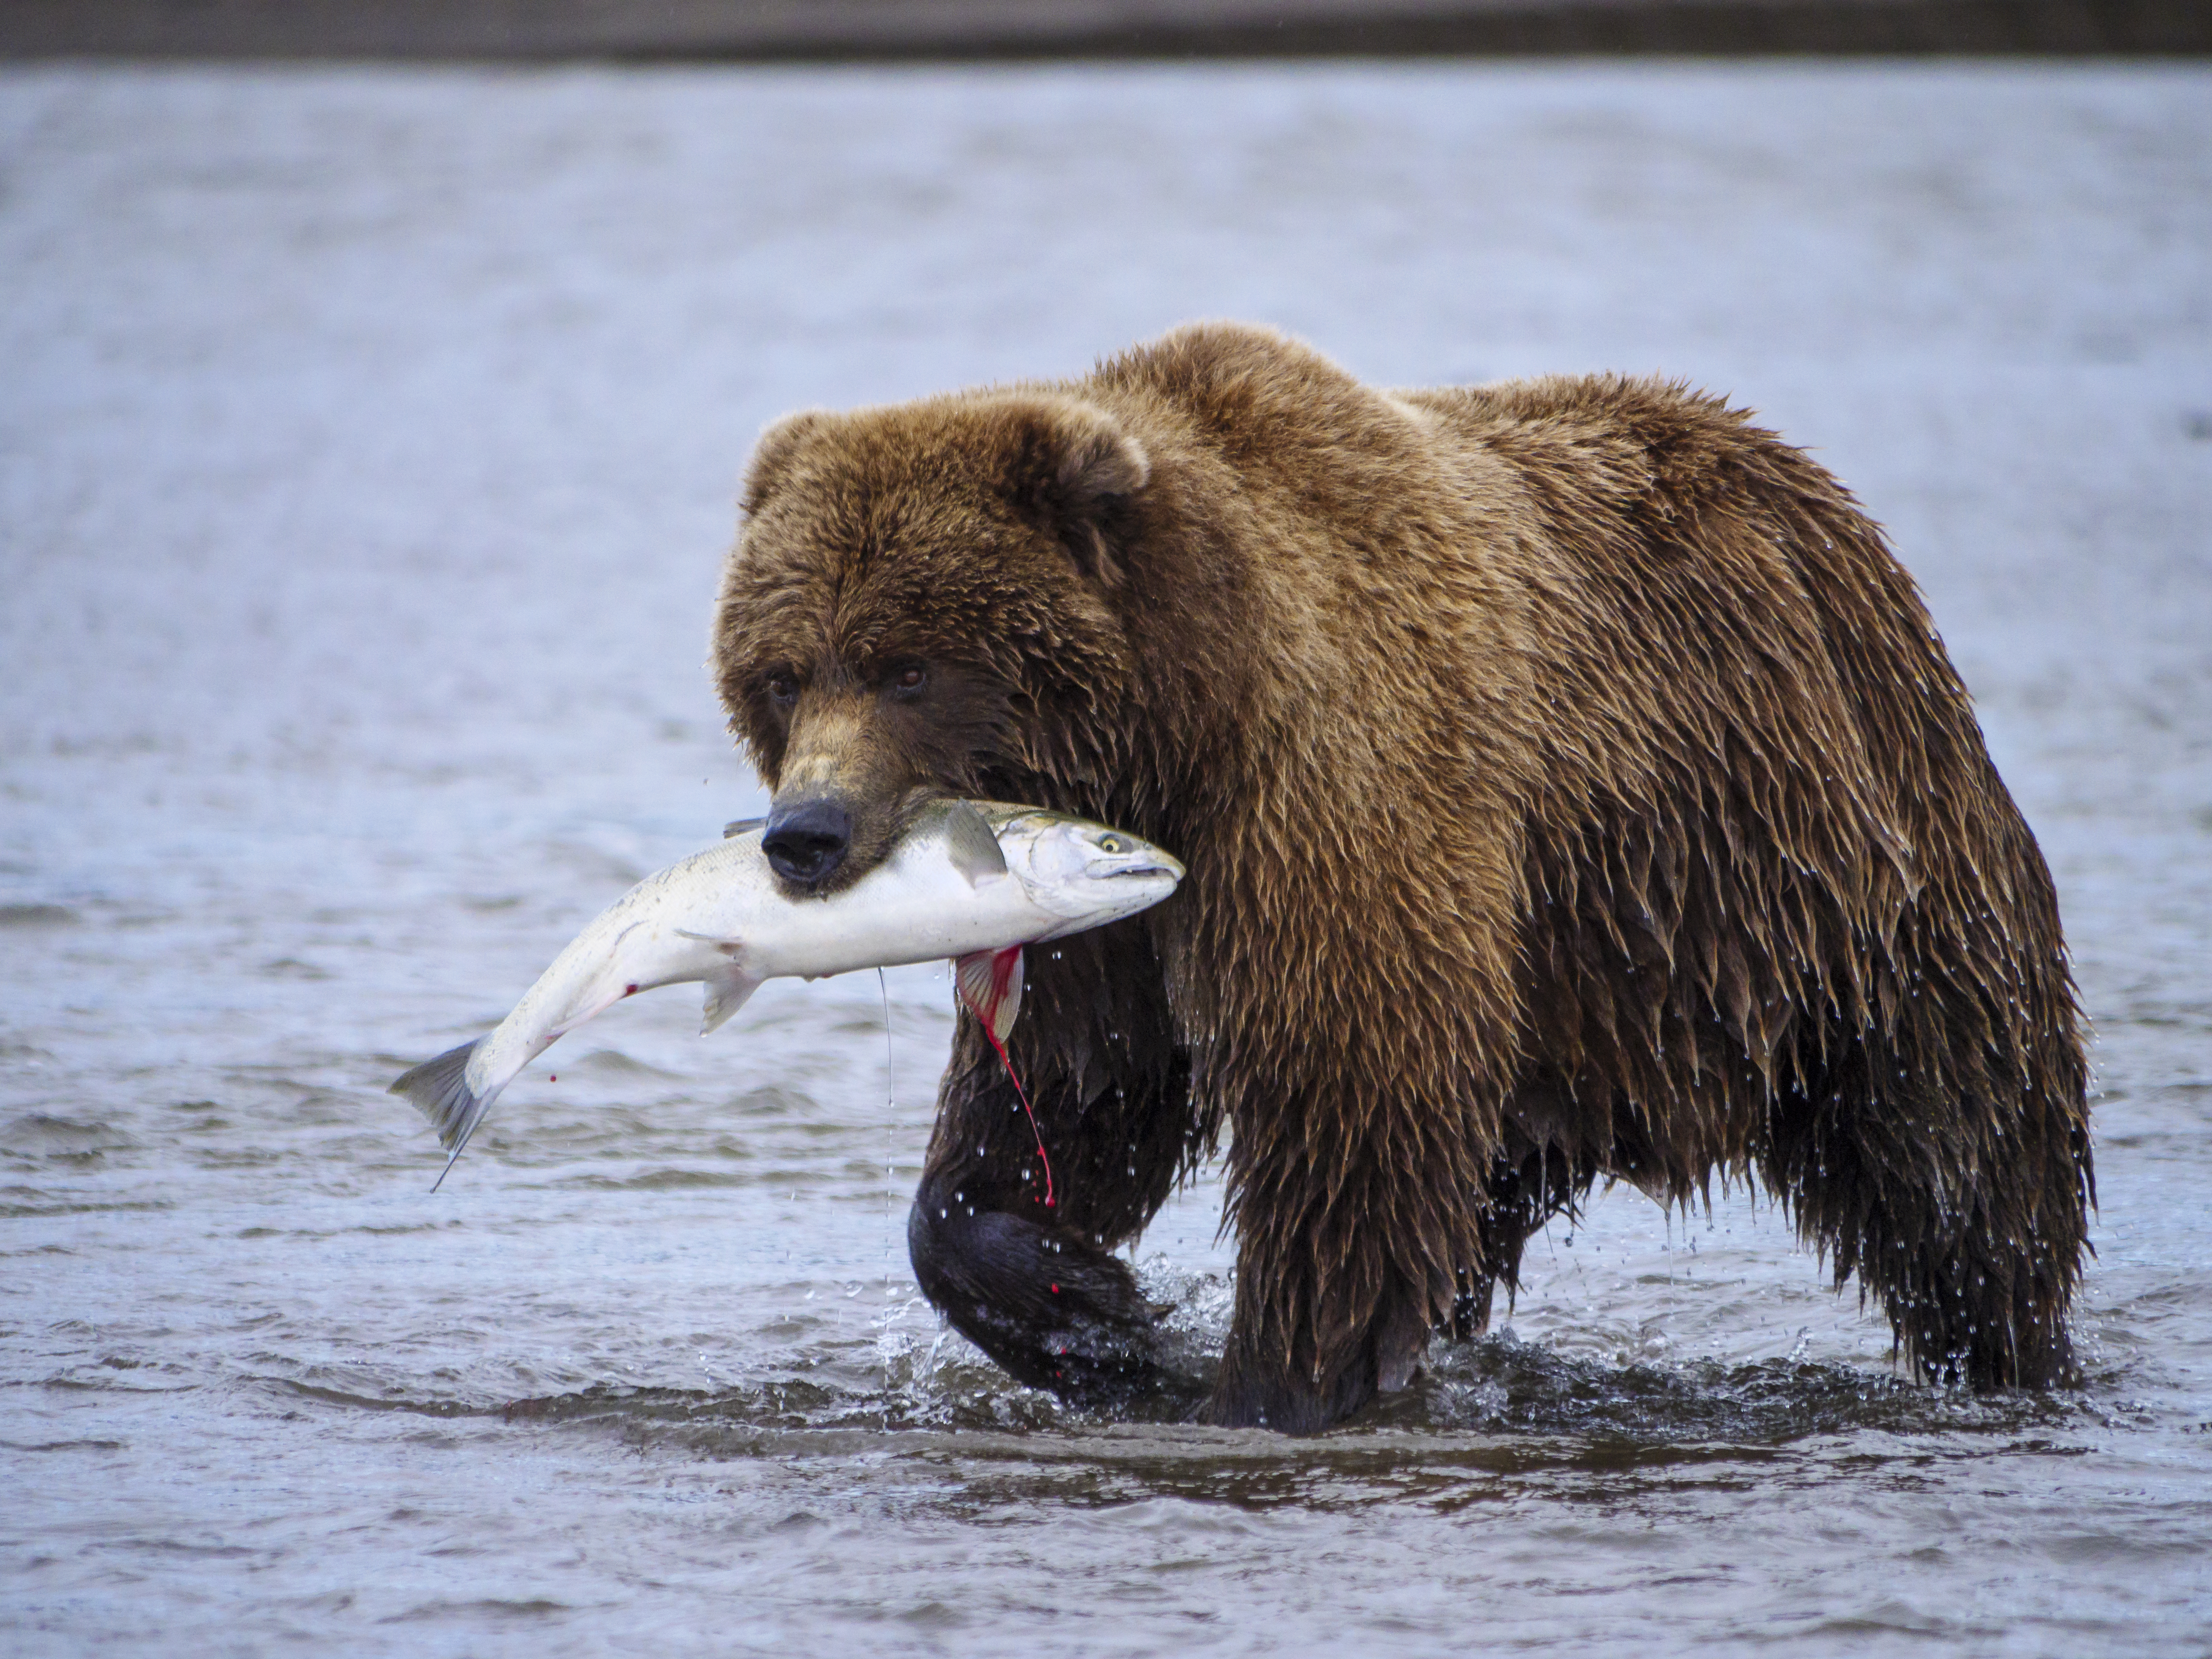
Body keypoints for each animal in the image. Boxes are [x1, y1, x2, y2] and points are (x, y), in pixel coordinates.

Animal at [707, 320, 2088, 1433]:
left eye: (908, 667)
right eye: (782, 671)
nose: (805, 832)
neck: (1176, 721)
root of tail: (1813, 491)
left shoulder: (1333, 804)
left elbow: (1344, 1115)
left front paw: (1262, 1388)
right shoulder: (1102, 926)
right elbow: (1065, 1097)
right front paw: (1086, 1307)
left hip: (1854, 878)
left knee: (1962, 1156)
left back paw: (2010, 1352)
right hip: (1588, 994)